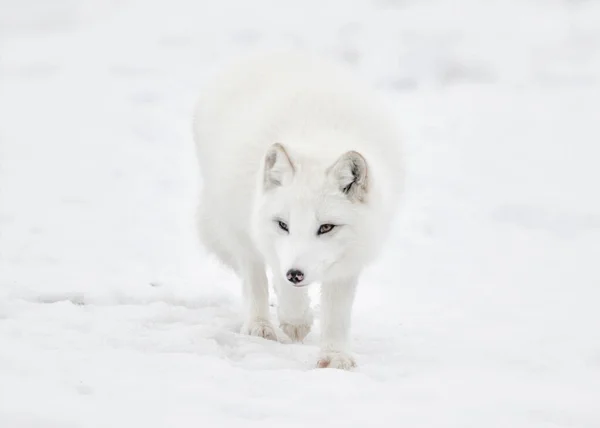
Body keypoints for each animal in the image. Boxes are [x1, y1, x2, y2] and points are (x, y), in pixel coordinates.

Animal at [193, 52, 404, 368]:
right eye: (283, 224)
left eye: (326, 227)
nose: (295, 274)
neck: (318, 137)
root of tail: (273, 53)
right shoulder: (268, 243)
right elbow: (279, 285)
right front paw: (295, 320)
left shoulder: (348, 261)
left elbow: (336, 313)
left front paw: (335, 355)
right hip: (238, 226)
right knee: (255, 277)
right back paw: (261, 325)